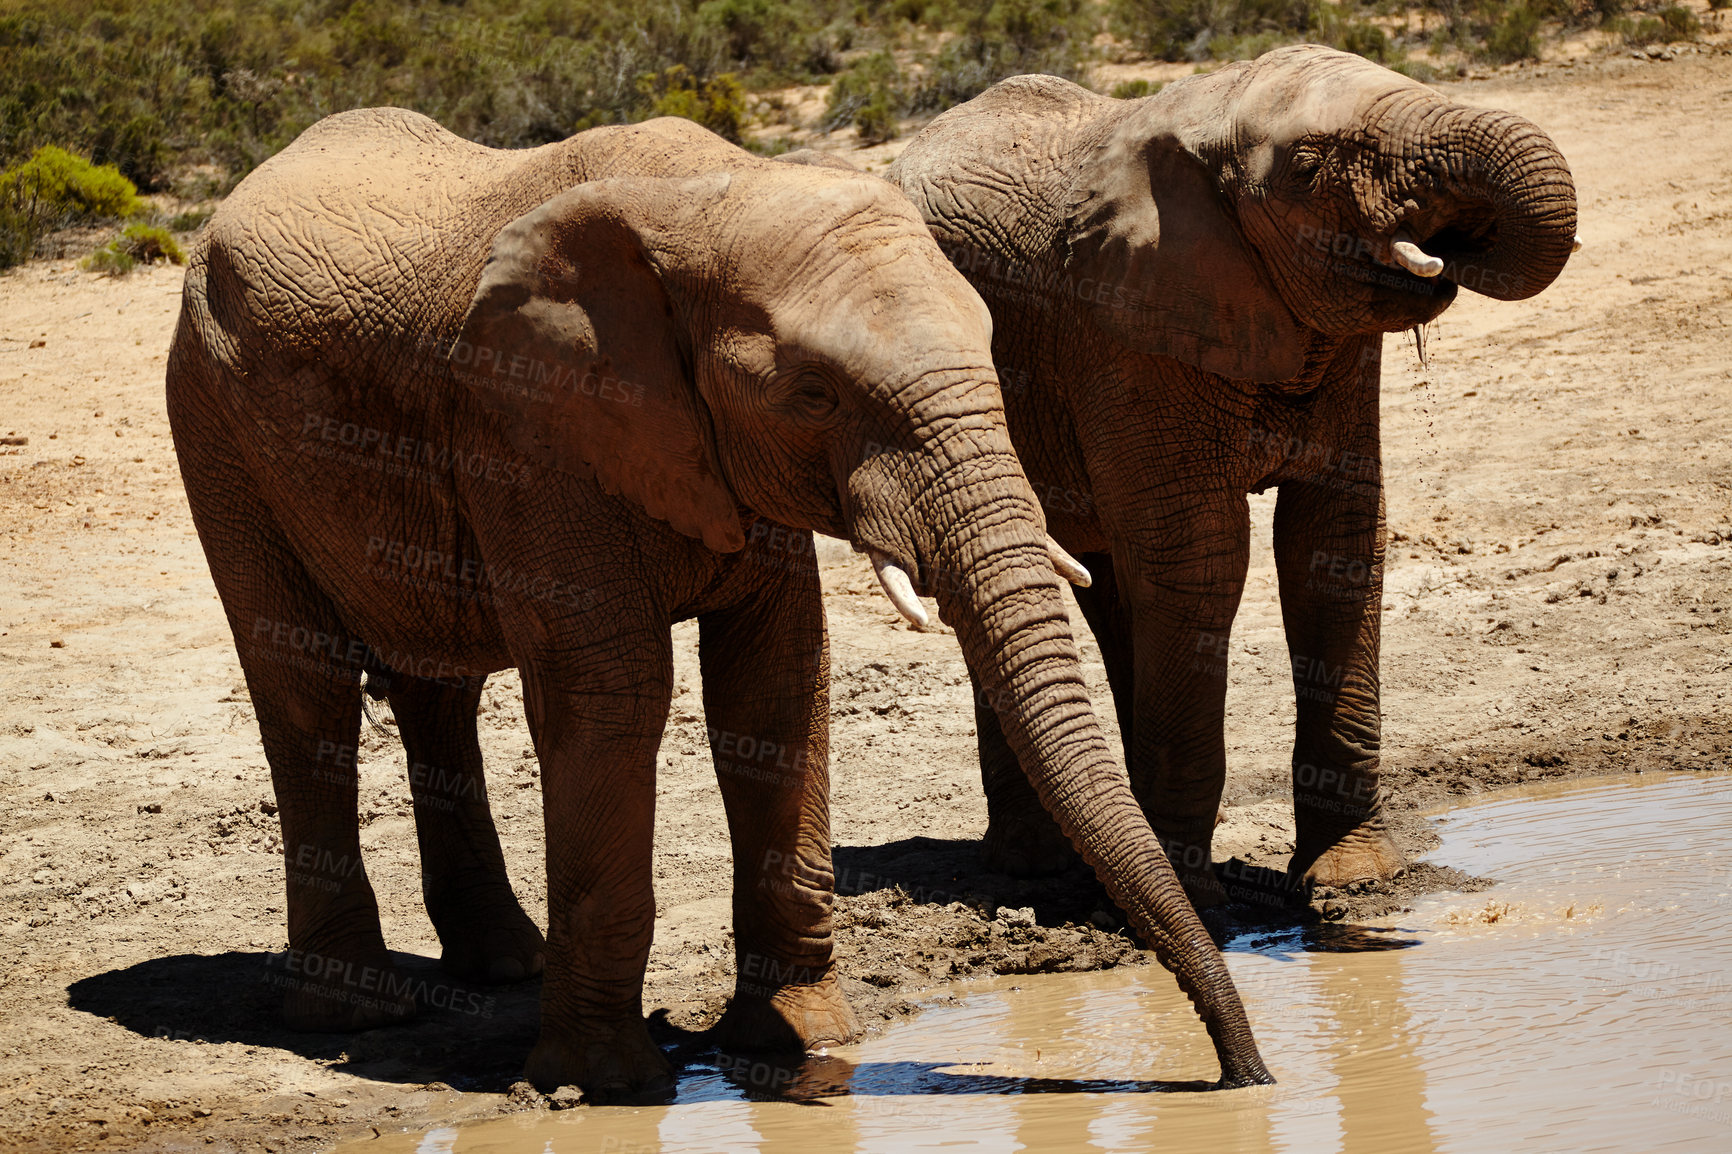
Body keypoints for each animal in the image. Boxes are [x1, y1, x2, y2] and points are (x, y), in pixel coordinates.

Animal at [162, 107, 1274, 1088]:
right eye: (814, 396)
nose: (1245, 1075)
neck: (711, 199)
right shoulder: (528, 417)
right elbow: (613, 693)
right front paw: (598, 1086)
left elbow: (777, 677)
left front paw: (806, 1044)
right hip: (213, 424)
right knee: (303, 688)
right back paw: (355, 1014)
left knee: (440, 686)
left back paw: (504, 966)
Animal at [886, 47, 1579, 901]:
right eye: (1308, 168)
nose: (1450, 243)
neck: (1217, 107)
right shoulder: (1127, 329)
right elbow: (1202, 560)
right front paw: (1194, 899)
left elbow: (1335, 545)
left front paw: (1353, 880)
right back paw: (1036, 866)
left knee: (1111, 581)